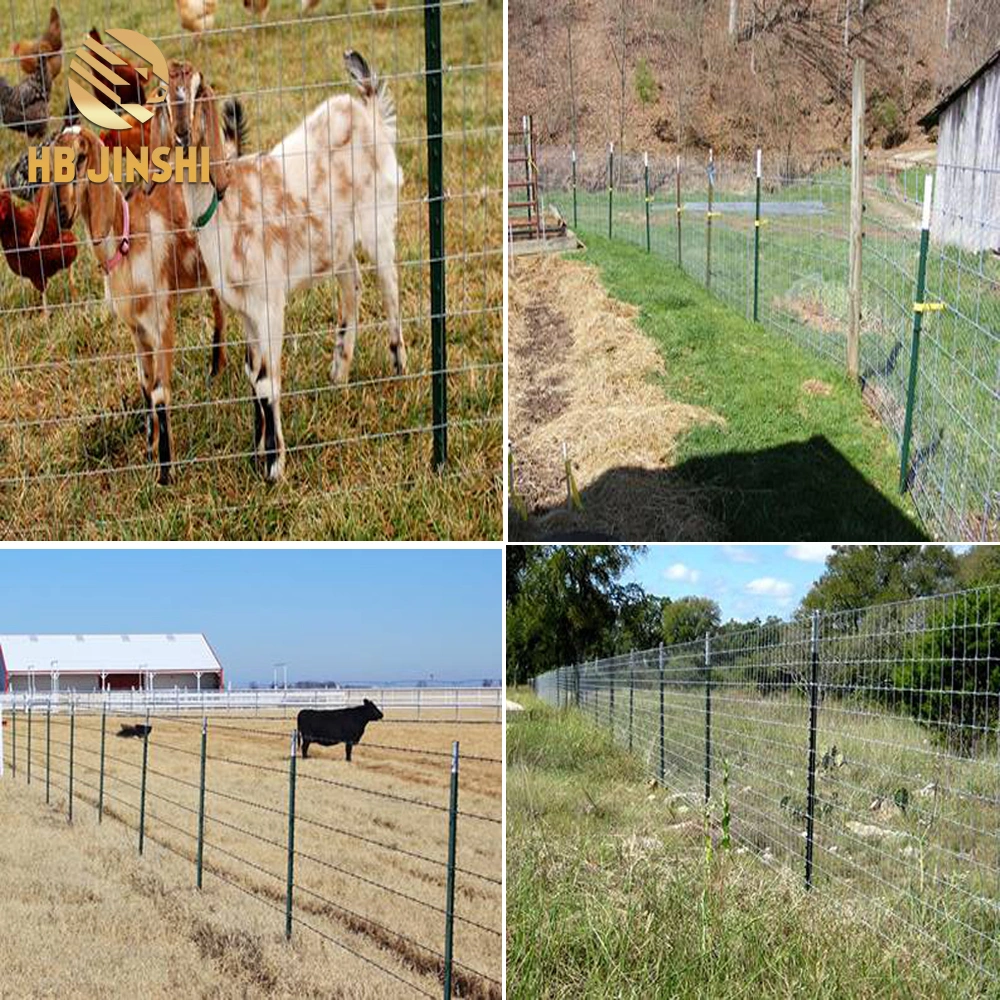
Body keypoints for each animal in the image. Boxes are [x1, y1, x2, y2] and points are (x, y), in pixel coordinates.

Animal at [28, 127, 231, 486]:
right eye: (51, 167)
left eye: (81, 158)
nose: (63, 214)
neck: (126, 238)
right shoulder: (136, 329)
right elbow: (145, 386)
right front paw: (149, 451)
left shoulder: (162, 322)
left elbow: (161, 392)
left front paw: (165, 474)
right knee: (220, 311)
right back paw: (215, 371)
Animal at [160, 50, 402, 480]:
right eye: (161, 90)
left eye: (198, 90)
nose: (183, 135)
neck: (226, 207)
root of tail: (368, 111)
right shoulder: (245, 311)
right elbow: (252, 375)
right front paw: (258, 452)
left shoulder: (269, 303)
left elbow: (267, 381)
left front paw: (274, 467)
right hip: (335, 243)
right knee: (352, 284)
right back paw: (339, 372)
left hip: (378, 220)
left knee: (389, 284)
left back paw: (399, 366)